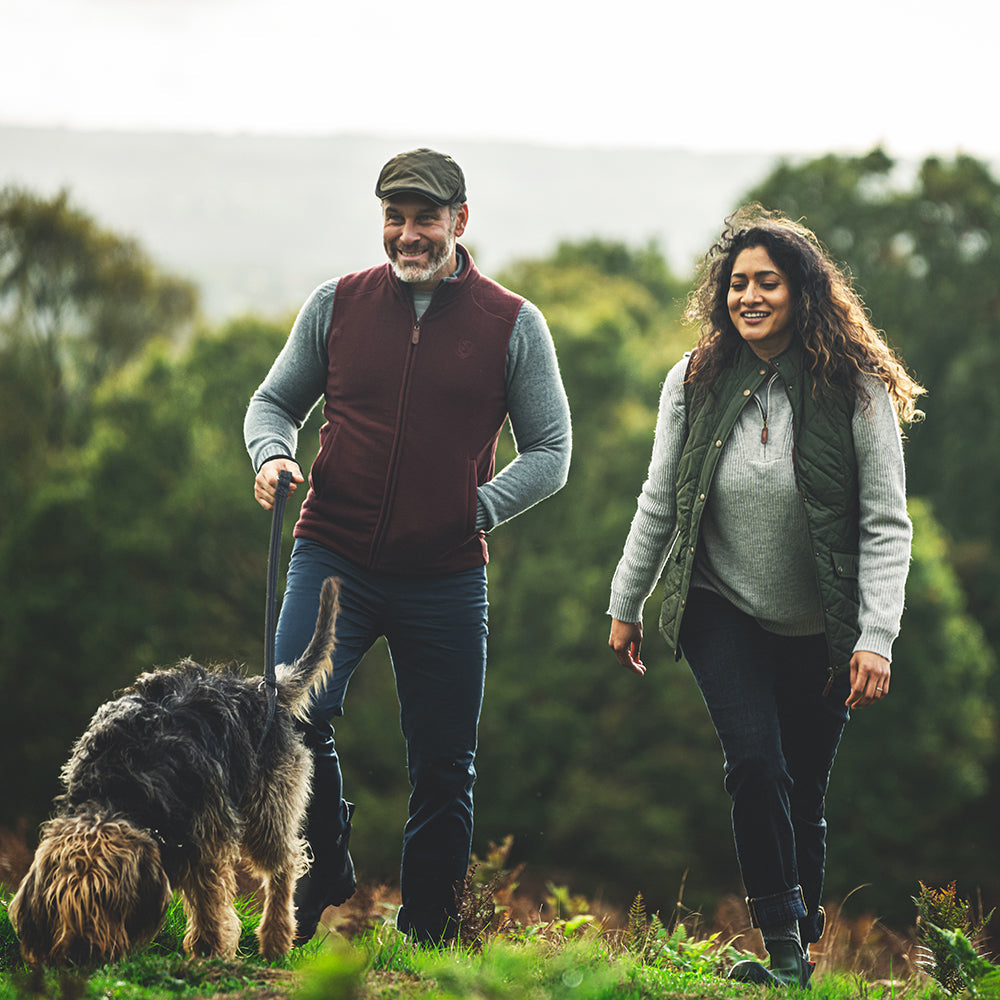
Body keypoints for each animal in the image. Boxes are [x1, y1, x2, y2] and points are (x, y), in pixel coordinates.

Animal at [9, 580, 342, 968]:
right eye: (63, 903)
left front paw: (208, 952)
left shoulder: (206, 839)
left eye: (108, 900)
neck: (120, 788)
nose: (82, 956)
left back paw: (275, 937)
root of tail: (261, 688)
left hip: (268, 809)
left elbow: (209, 904)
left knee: (285, 864)